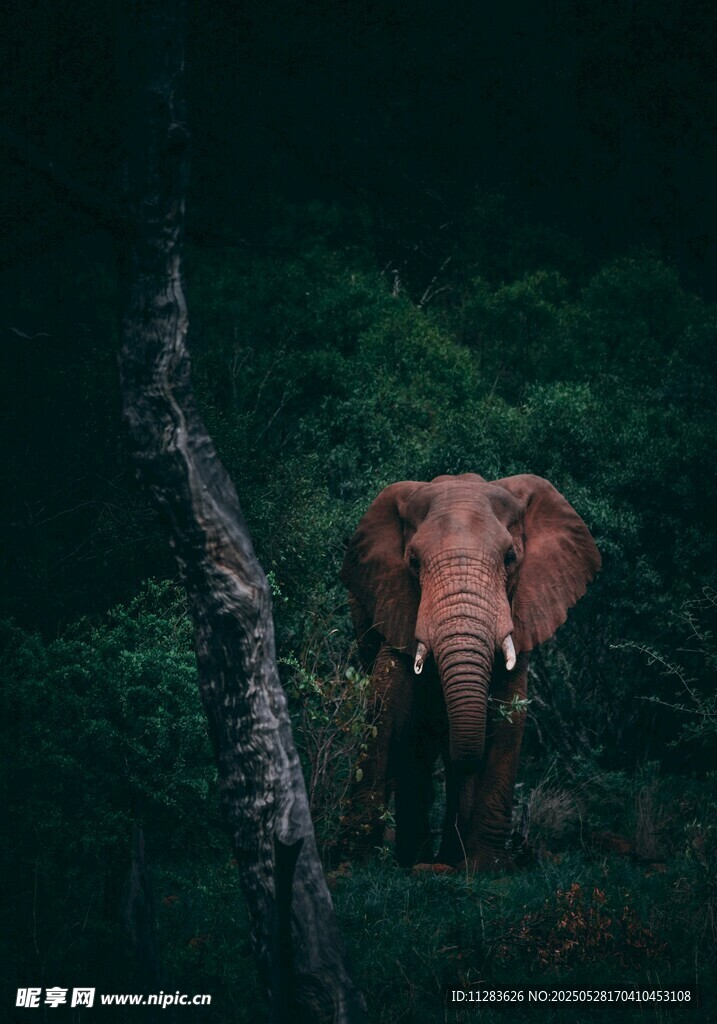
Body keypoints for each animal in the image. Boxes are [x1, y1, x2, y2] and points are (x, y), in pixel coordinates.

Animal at [341, 472, 600, 871]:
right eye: (413, 561)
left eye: (510, 558)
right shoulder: (393, 600)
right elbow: (387, 704)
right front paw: (355, 858)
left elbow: (510, 712)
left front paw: (486, 867)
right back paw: (418, 857)